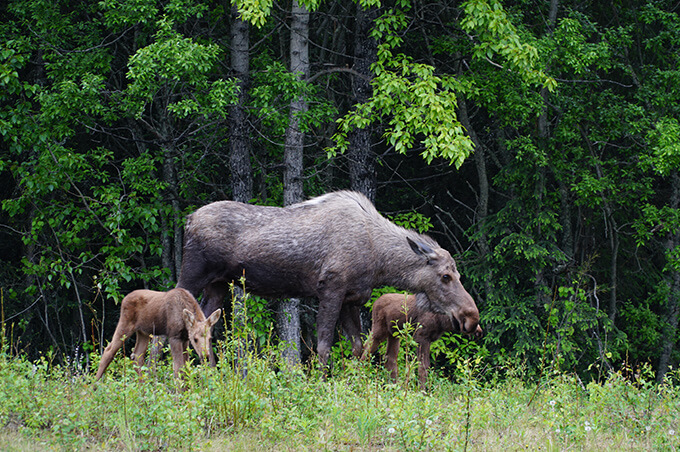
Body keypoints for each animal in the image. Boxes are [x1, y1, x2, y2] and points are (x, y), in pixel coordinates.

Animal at [178, 191, 480, 364]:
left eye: (456, 273)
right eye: (445, 276)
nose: (471, 317)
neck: (378, 260)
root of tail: (188, 220)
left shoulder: (352, 298)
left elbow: (359, 348)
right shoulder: (330, 289)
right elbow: (323, 347)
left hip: (219, 284)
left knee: (202, 326)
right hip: (193, 273)